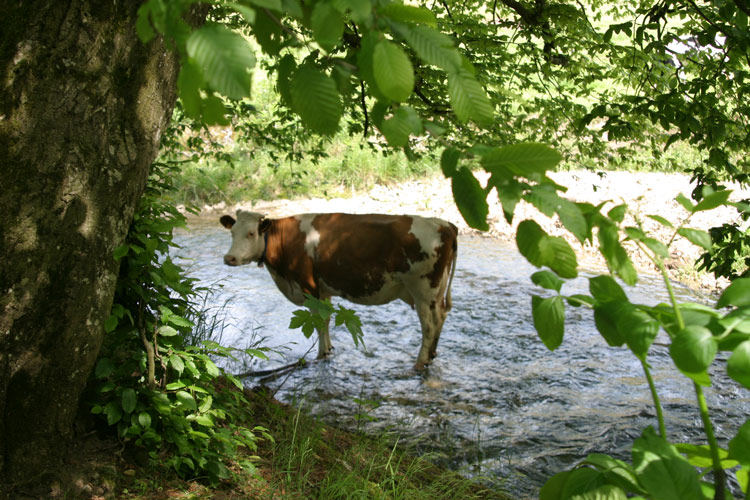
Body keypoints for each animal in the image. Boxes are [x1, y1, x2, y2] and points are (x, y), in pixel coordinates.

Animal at [220, 211, 458, 372]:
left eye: (251, 233)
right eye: (232, 233)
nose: (229, 258)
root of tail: (443, 224)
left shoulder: (308, 287)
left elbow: (317, 322)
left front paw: (320, 354)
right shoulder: (323, 290)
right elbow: (325, 321)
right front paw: (329, 350)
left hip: (423, 290)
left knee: (429, 325)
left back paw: (420, 362)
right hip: (436, 293)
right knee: (441, 317)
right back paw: (432, 354)